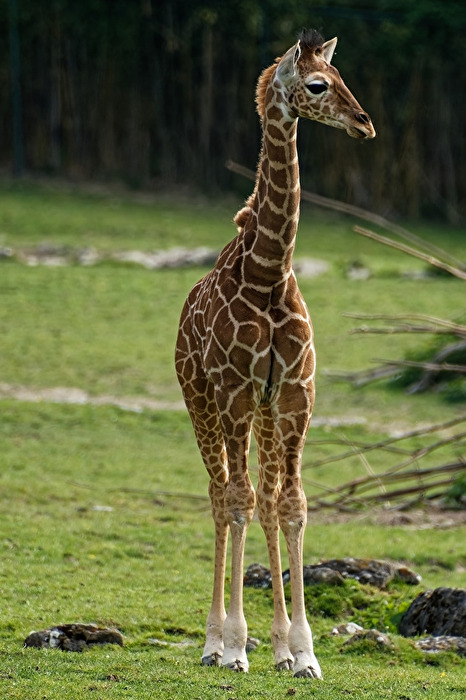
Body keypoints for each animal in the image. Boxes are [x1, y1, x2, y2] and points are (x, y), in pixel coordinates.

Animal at [175, 29, 375, 678]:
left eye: (341, 78)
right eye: (316, 85)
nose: (363, 123)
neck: (268, 271)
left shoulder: (292, 395)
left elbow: (290, 505)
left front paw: (304, 652)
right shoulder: (235, 391)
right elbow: (238, 501)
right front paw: (236, 646)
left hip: (261, 414)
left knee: (261, 498)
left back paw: (280, 646)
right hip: (201, 399)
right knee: (221, 497)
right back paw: (215, 642)